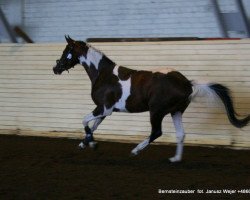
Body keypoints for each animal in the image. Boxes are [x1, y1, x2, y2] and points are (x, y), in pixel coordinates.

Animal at [53, 36, 250, 162]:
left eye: (67, 50)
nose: (56, 68)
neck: (104, 75)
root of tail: (187, 84)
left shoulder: (104, 109)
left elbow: (85, 121)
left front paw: (91, 144)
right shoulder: (105, 111)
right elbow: (92, 126)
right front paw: (87, 144)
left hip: (157, 112)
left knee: (157, 132)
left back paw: (135, 150)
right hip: (176, 111)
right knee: (181, 134)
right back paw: (175, 159)